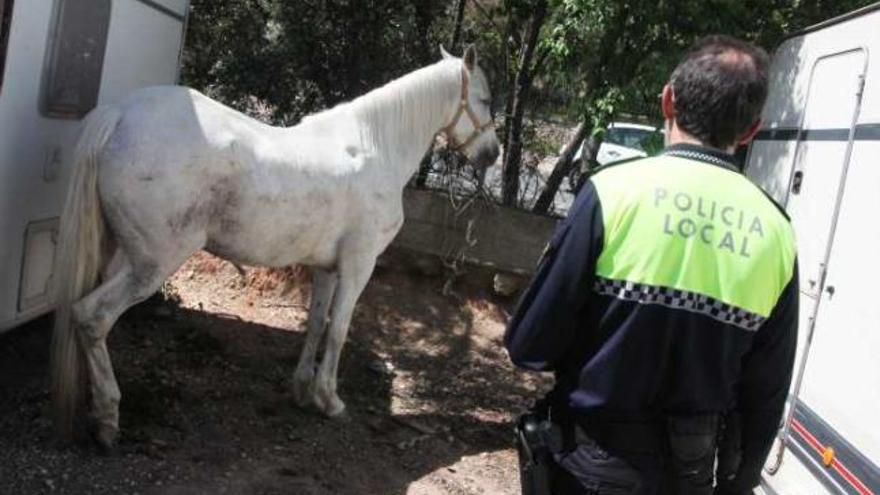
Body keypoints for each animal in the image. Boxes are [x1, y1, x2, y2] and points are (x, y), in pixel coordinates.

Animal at [51, 46, 498, 450]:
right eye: (485, 98)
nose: (492, 154)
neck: (374, 146)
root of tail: (120, 114)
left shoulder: (327, 268)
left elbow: (316, 324)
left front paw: (302, 391)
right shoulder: (359, 264)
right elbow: (339, 329)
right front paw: (330, 400)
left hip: (123, 255)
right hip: (153, 263)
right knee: (92, 317)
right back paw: (108, 419)